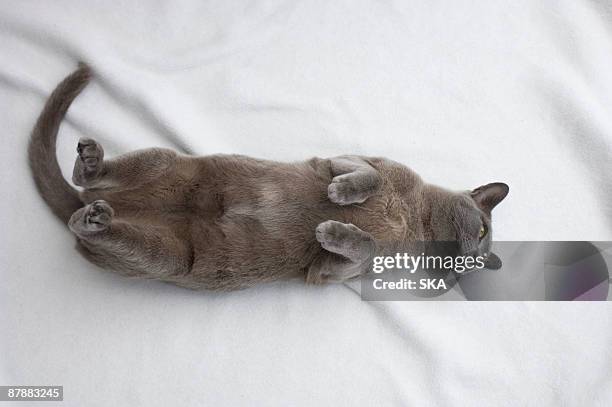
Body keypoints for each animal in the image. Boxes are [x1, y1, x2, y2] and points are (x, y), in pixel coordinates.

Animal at [27, 64, 506, 290]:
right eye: (483, 229)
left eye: (479, 258)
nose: (476, 258)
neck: (412, 220)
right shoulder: (353, 158)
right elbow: (366, 177)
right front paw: (340, 196)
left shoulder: (331, 273)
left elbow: (365, 247)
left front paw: (333, 229)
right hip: (163, 162)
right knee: (91, 182)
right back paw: (91, 164)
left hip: (166, 257)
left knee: (92, 217)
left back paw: (94, 216)